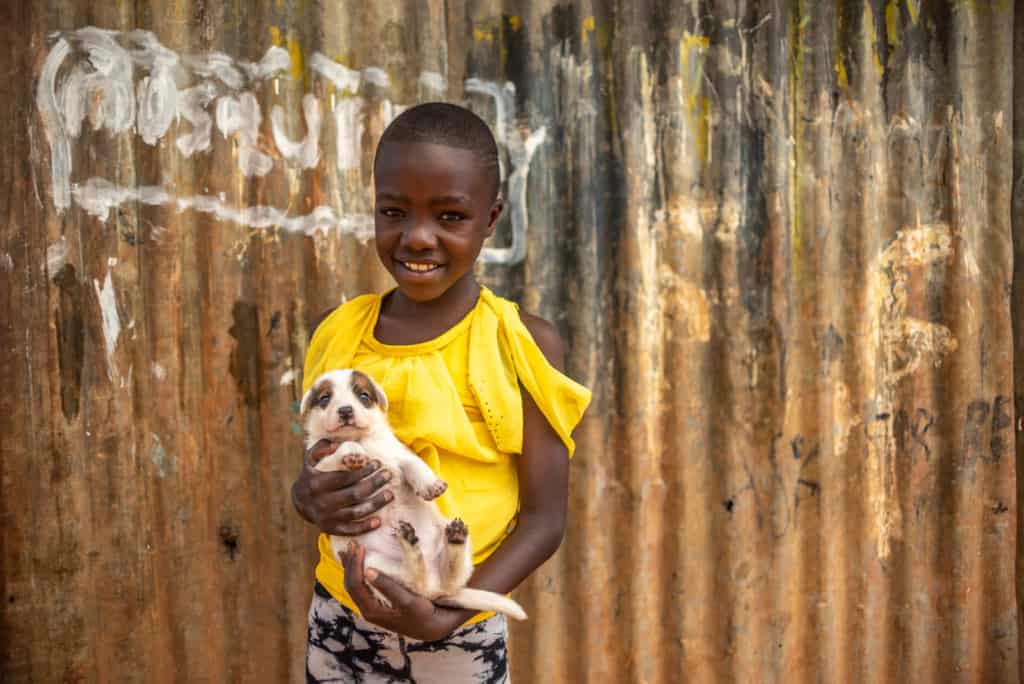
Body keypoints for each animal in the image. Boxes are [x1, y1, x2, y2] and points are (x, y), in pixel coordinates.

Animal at [299, 370, 528, 622]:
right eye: (325, 399)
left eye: (363, 396)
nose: (346, 410)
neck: (363, 441)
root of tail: (434, 592)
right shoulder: (321, 468)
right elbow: (341, 450)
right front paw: (352, 454)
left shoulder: (398, 454)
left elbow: (413, 464)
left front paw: (430, 485)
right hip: (370, 563)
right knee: (414, 579)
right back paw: (410, 544)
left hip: (445, 537)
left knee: (450, 577)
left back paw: (453, 539)